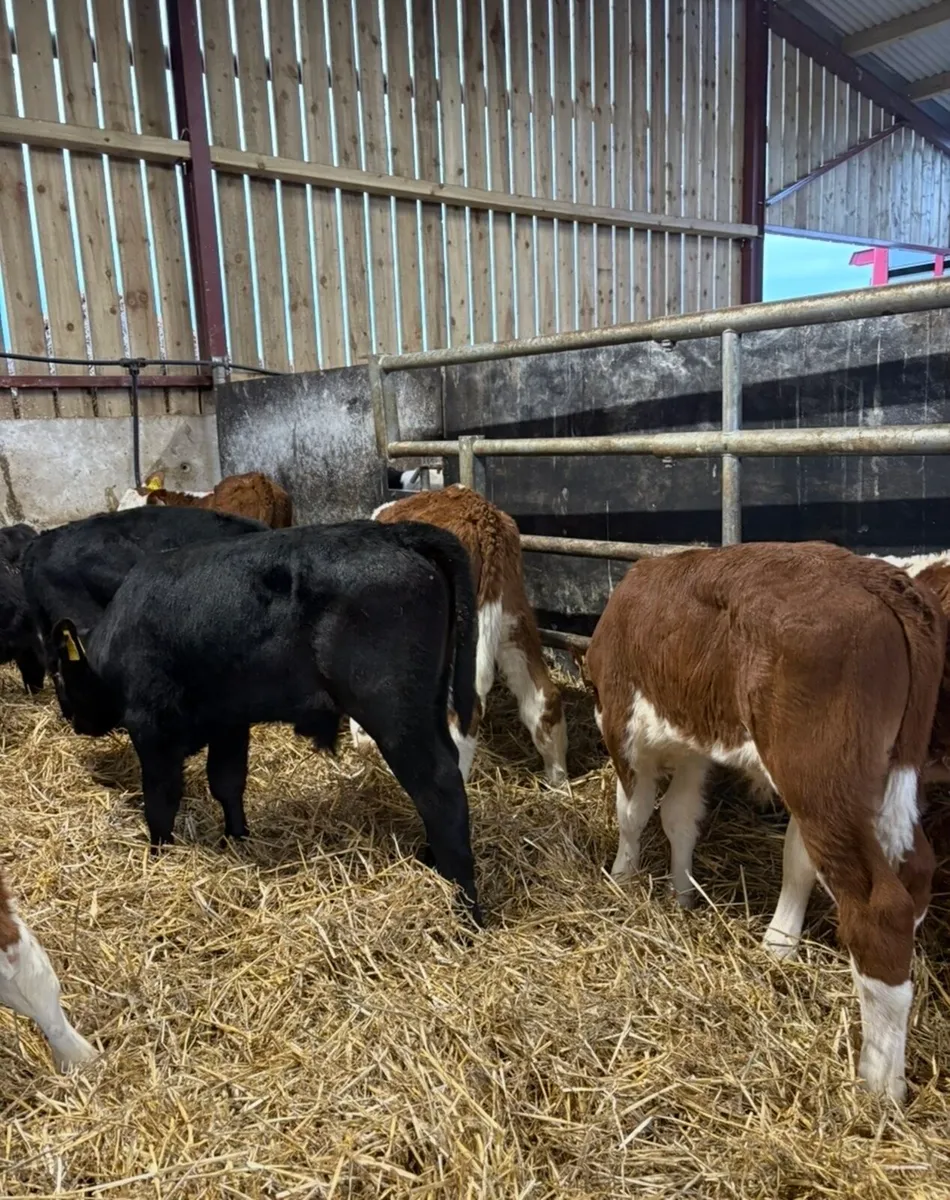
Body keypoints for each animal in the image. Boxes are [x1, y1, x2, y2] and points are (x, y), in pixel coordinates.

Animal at [47, 521, 482, 924]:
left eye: (59, 677)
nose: (70, 718)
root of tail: (394, 533)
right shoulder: (229, 722)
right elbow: (227, 781)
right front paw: (237, 838)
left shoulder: (152, 729)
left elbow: (161, 800)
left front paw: (157, 856)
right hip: (427, 706)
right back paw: (433, 863)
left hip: (392, 711)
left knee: (439, 787)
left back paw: (466, 911)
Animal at [586, 541, 945, 1103]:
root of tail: (881, 580)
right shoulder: (693, 740)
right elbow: (680, 816)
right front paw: (683, 893)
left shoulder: (621, 716)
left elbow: (634, 811)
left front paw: (622, 878)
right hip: (875, 778)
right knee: (912, 871)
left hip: (821, 777)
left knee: (878, 907)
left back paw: (878, 1082)